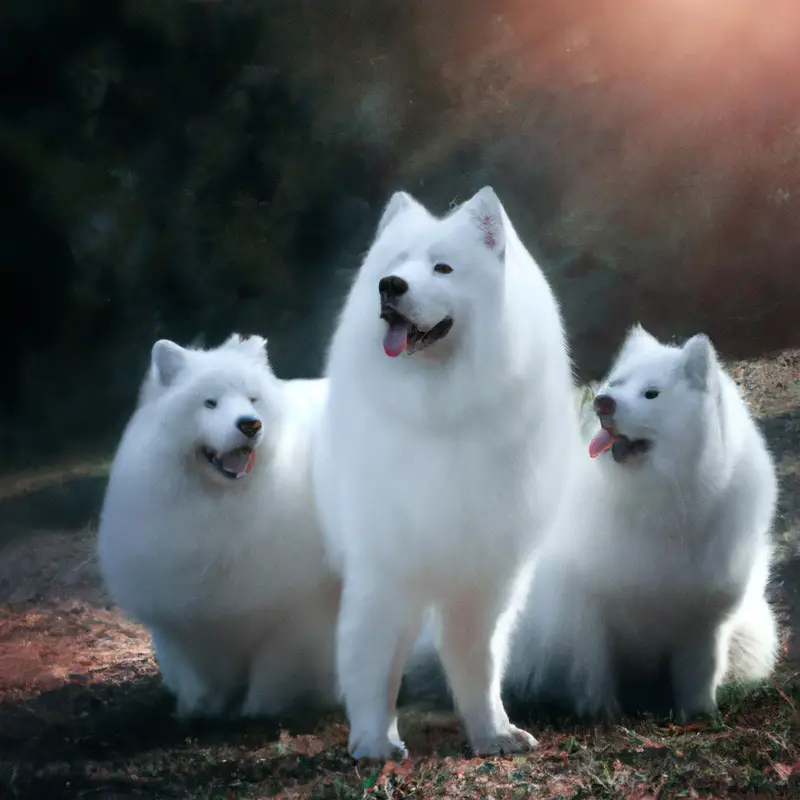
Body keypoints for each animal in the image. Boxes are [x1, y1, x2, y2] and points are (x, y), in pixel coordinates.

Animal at [312, 186, 580, 756]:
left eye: (442, 268)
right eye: (393, 267)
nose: (390, 286)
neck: (440, 411)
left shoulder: (486, 575)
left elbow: (479, 661)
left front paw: (493, 733)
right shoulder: (385, 571)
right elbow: (373, 660)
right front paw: (374, 742)